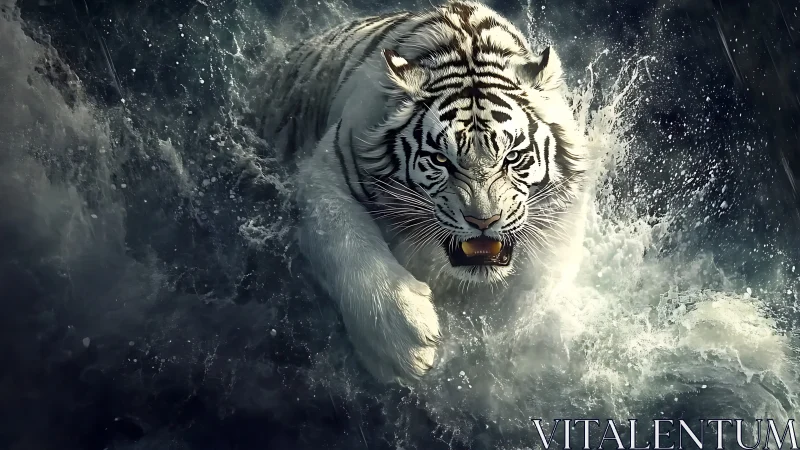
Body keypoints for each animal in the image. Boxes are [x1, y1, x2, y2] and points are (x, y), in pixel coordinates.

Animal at [259, 0, 589, 383]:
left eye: (512, 157)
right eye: (440, 160)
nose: (484, 221)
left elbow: (543, 279)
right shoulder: (329, 169)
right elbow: (345, 242)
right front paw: (402, 342)